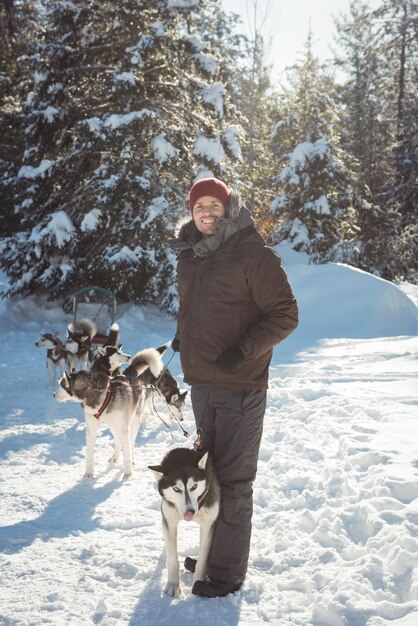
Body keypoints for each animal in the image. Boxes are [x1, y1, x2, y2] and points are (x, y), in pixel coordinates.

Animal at [55, 346, 165, 478]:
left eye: (61, 386)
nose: (53, 394)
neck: (95, 391)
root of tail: (128, 375)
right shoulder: (91, 429)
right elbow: (90, 455)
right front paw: (89, 474)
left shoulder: (124, 428)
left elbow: (127, 452)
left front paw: (128, 473)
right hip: (113, 426)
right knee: (118, 440)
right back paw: (115, 457)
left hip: (132, 423)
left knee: (131, 442)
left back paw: (131, 459)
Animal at [149, 446, 220, 596]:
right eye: (176, 489)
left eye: (194, 486)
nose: (190, 512)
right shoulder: (169, 522)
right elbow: (172, 559)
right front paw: (173, 585)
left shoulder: (208, 524)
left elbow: (203, 559)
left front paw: (197, 582)